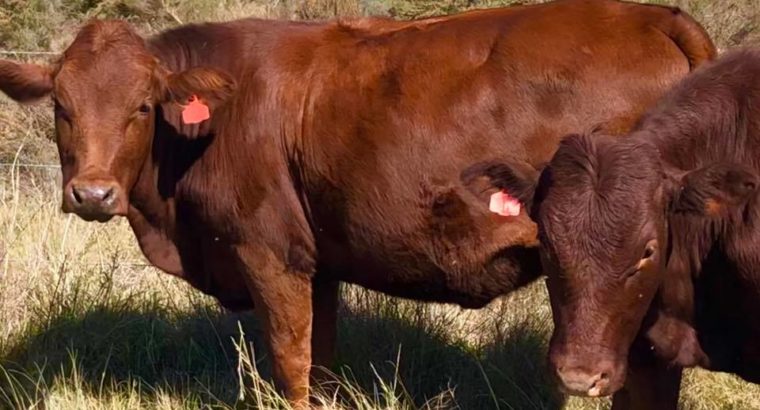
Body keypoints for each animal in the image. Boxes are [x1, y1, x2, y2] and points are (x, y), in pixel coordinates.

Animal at [0, 0, 715, 405]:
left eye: (143, 107)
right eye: (61, 107)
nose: (93, 193)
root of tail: (651, 13)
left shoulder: (269, 253)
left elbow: (290, 362)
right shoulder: (317, 263)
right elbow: (320, 359)